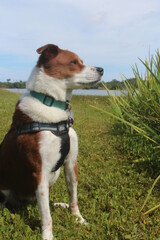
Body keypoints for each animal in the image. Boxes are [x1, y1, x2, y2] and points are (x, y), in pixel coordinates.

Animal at [0, 44, 104, 239]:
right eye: (74, 62)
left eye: (81, 61)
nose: (101, 69)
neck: (52, 104)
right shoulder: (39, 171)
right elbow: (46, 217)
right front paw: (47, 235)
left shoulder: (71, 164)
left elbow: (73, 197)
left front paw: (77, 219)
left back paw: (59, 205)